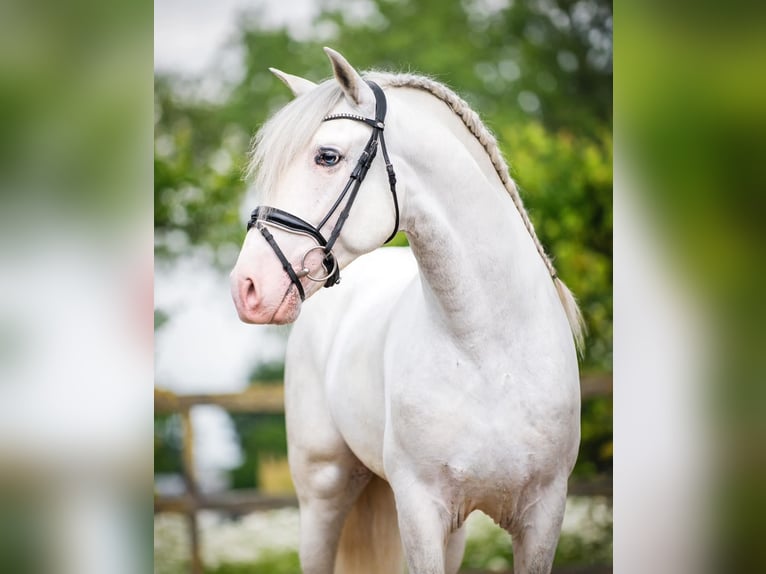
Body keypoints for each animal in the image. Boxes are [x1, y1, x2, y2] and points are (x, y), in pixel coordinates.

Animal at [231, 48, 584, 574]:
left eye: (327, 156)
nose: (247, 287)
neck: (487, 352)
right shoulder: (420, 511)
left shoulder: (544, 514)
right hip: (322, 494)